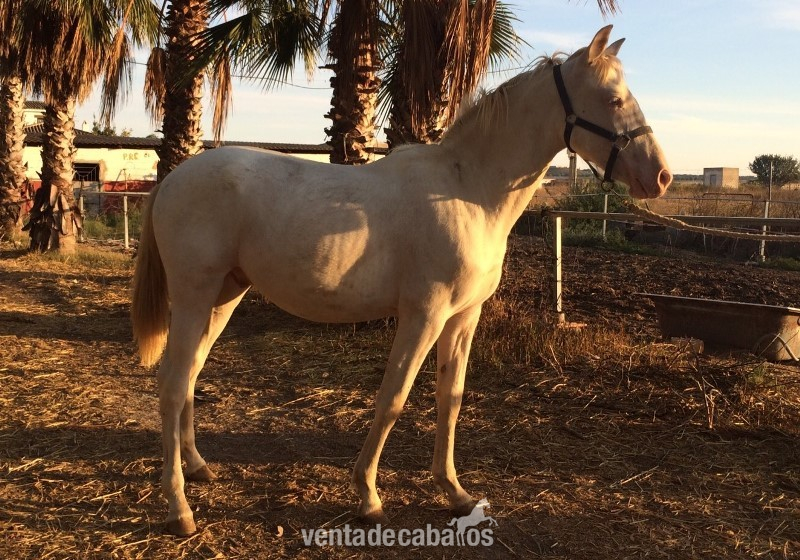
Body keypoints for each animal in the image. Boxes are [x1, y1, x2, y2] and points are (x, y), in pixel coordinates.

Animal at [131, 25, 671, 536]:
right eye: (614, 99)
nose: (662, 176)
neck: (467, 190)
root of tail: (173, 178)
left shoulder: (462, 318)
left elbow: (450, 399)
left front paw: (454, 492)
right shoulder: (423, 315)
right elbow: (393, 397)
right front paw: (368, 496)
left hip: (225, 295)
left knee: (190, 374)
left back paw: (198, 466)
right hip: (195, 295)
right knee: (172, 382)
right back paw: (179, 508)